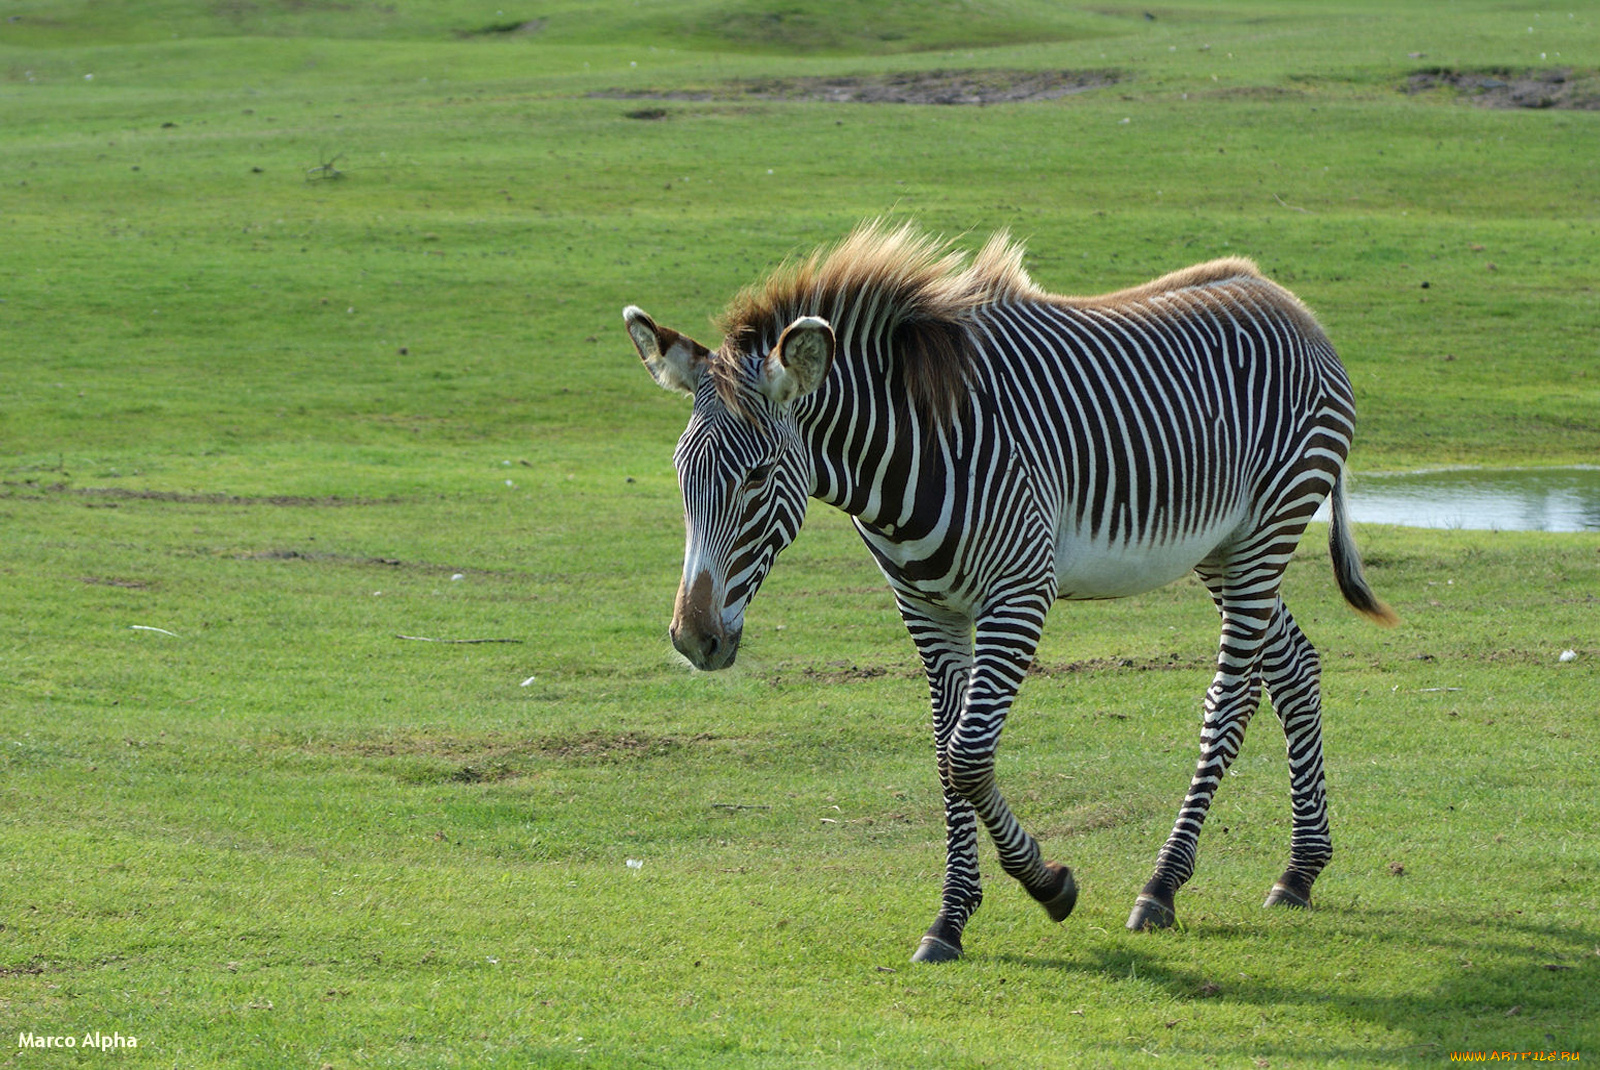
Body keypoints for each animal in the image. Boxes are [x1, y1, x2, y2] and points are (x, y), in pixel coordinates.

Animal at [617, 220, 1395, 966]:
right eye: (681, 470)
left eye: (756, 477)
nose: (693, 639)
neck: (914, 449)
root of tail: (1285, 301)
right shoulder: (927, 609)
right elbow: (945, 757)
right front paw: (951, 919)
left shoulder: (1018, 595)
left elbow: (968, 757)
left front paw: (1049, 885)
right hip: (1222, 551)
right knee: (1294, 667)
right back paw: (1300, 870)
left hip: (1268, 530)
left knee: (1230, 701)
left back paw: (1163, 885)